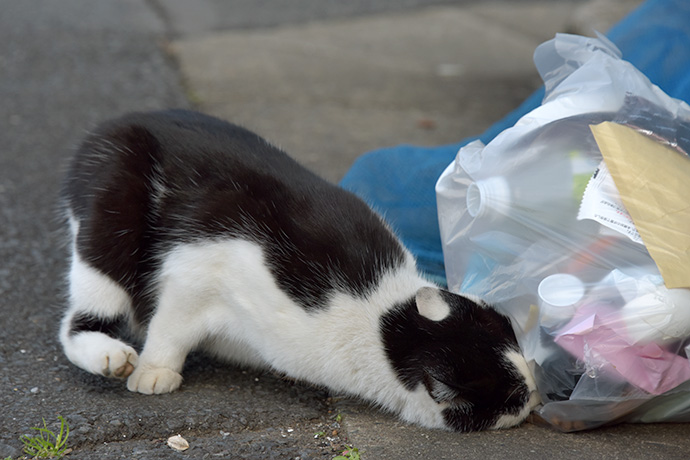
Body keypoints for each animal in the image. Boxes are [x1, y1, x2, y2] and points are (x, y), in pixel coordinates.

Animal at [57, 110, 536, 432]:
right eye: (512, 397)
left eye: (517, 343)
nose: (535, 393)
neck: (384, 316)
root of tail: (114, 122)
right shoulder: (202, 266)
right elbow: (170, 327)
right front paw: (155, 371)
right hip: (111, 228)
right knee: (78, 321)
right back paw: (111, 357)